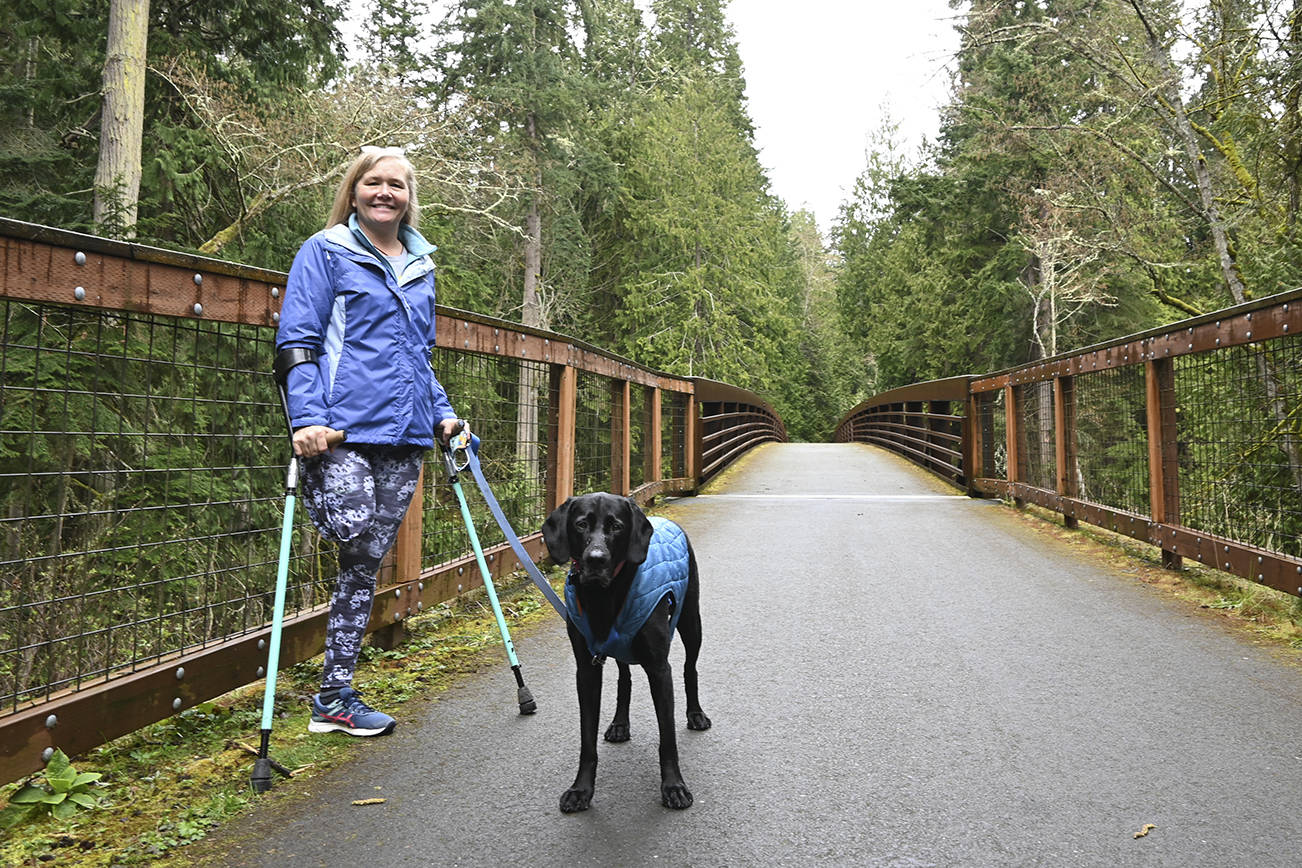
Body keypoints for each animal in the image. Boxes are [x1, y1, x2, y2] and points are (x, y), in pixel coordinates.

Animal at [541, 493, 711, 812]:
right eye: (581, 524)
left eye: (616, 526)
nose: (595, 559)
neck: (603, 596)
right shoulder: (586, 672)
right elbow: (587, 740)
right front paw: (581, 789)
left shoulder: (659, 669)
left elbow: (667, 737)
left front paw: (673, 786)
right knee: (624, 679)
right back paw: (620, 723)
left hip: (691, 622)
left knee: (690, 668)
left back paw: (695, 714)